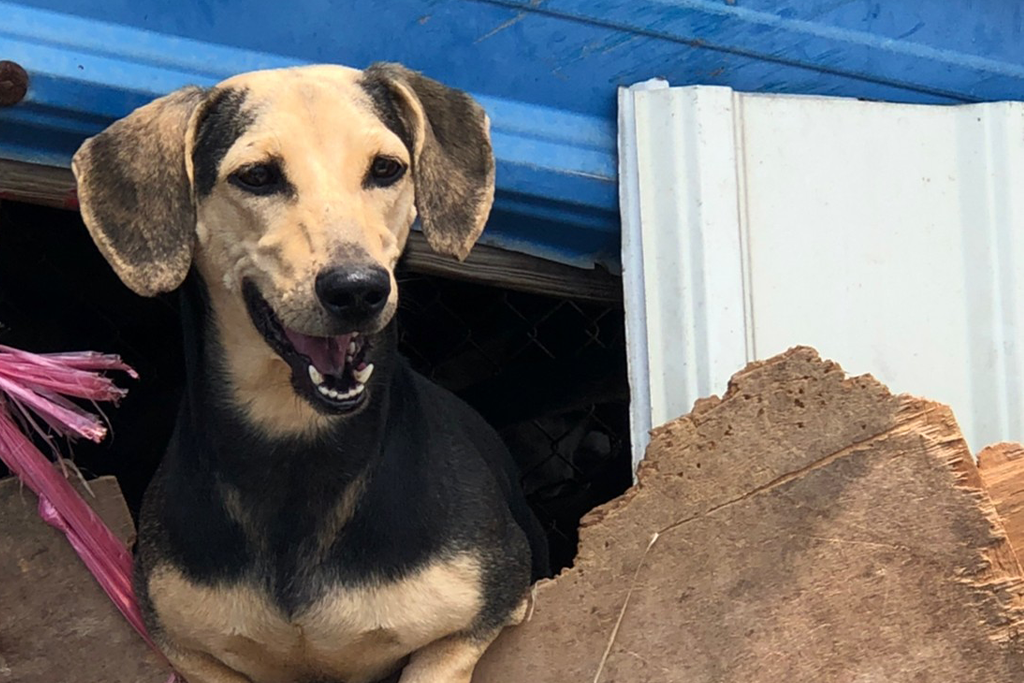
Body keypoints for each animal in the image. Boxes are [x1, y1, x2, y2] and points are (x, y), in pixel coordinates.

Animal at [70, 63, 552, 683]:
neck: (297, 446)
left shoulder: (494, 598)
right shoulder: (185, 645)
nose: (358, 289)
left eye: (387, 169)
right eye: (256, 177)